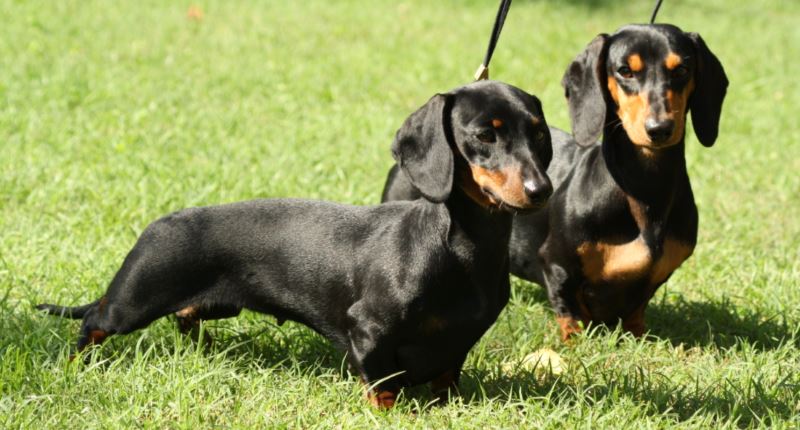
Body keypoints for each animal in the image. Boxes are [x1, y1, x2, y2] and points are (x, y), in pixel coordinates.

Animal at [37, 80, 552, 406]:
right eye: (484, 135)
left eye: (539, 132)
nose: (541, 190)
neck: (461, 249)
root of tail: (159, 224)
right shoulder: (369, 331)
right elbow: (382, 384)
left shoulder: (458, 344)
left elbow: (446, 376)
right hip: (133, 301)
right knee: (95, 321)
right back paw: (74, 363)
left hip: (213, 305)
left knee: (183, 316)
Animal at [510, 24, 728, 340]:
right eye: (625, 71)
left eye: (682, 70)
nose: (659, 129)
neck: (646, 190)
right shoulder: (555, 263)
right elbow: (569, 311)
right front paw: (575, 340)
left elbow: (636, 310)